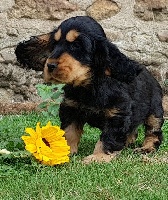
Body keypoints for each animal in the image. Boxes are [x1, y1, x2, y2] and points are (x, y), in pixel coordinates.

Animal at [15, 15, 163, 162]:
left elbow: (108, 138)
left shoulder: (118, 115)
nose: (50, 65)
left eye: (76, 45)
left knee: (154, 132)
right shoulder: (70, 109)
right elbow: (70, 132)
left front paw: (98, 157)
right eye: (54, 44)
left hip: (155, 112)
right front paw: (65, 152)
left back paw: (146, 148)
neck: (88, 86)